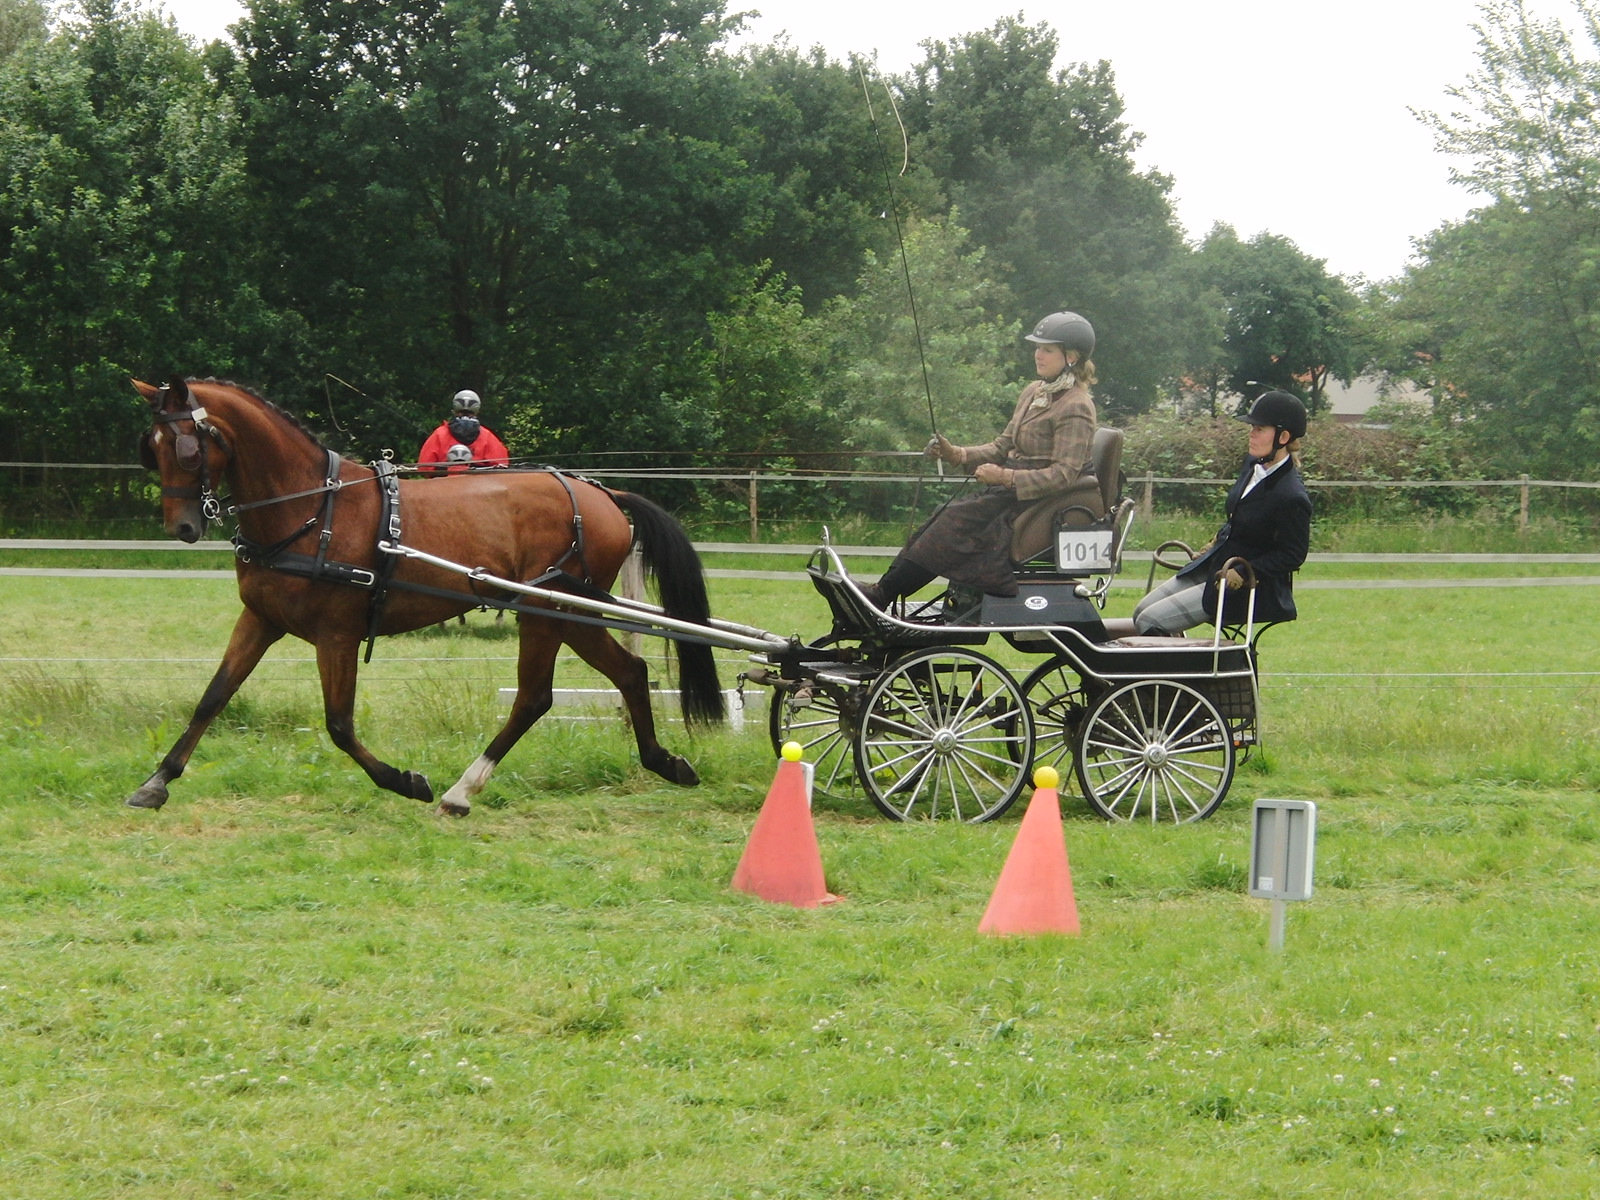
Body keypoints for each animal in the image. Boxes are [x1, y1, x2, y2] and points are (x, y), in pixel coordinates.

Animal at [128, 377, 723, 819]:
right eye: (151, 449)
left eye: (186, 449)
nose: (182, 527)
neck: (312, 510)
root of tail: (602, 493)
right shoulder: (260, 619)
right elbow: (213, 697)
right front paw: (158, 781)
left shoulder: (337, 634)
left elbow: (339, 723)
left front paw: (405, 780)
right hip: (572, 615)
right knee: (629, 673)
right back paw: (663, 762)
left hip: (549, 612)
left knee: (535, 698)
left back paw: (462, 790)